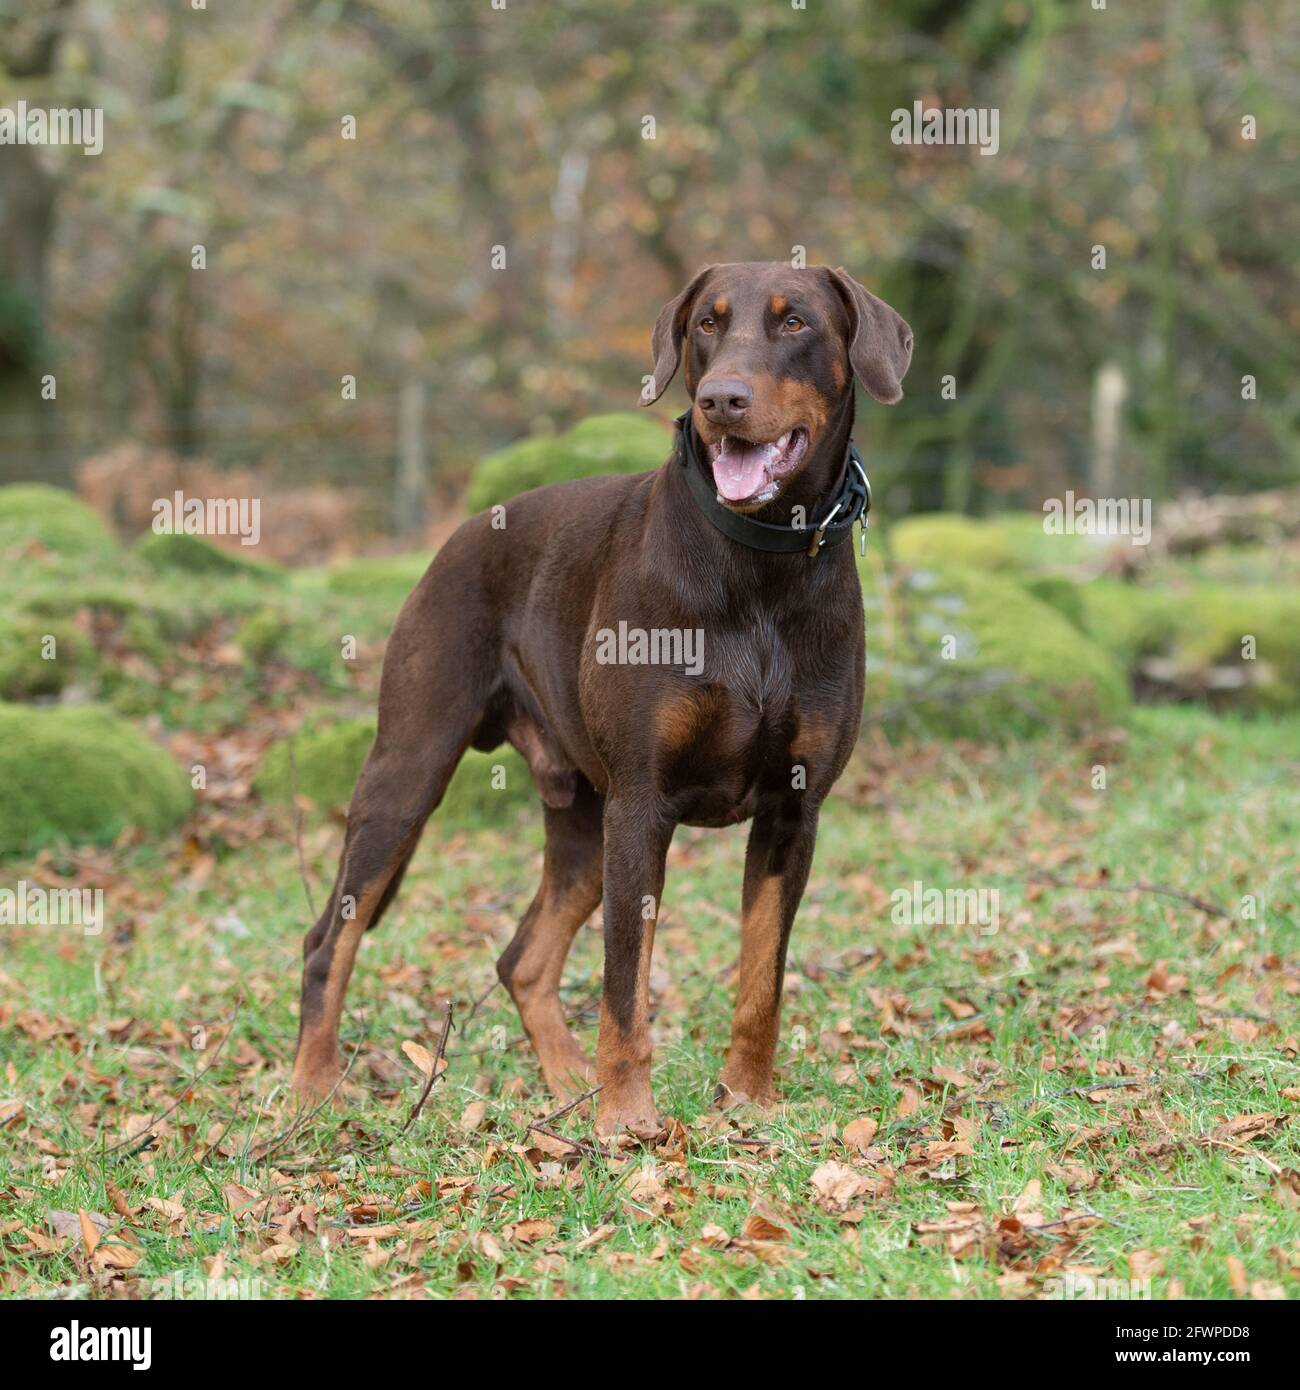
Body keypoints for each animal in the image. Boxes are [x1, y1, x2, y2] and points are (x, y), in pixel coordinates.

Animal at [287, 261, 912, 1139]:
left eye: (796, 324)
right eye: (706, 324)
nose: (721, 399)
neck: (760, 566)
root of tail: (457, 536)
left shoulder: (795, 810)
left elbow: (761, 980)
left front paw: (747, 1104)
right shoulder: (643, 804)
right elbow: (626, 989)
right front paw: (626, 1120)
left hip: (583, 817)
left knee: (522, 959)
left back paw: (565, 1084)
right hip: (410, 771)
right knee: (328, 940)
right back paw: (313, 1089)